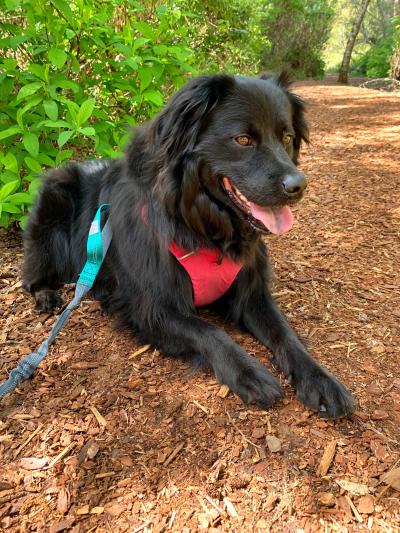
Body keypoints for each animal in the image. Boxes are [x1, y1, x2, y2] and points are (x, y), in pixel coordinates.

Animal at [22, 72, 354, 418]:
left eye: (287, 136)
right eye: (243, 140)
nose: (298, 185)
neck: (202, 229)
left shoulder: (251, 293)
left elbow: (285, 333)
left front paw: (319, 379)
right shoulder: (153, 308)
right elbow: (210, 332)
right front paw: (248, 372)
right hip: (52, 218)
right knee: (31, 274)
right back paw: (47, 295)